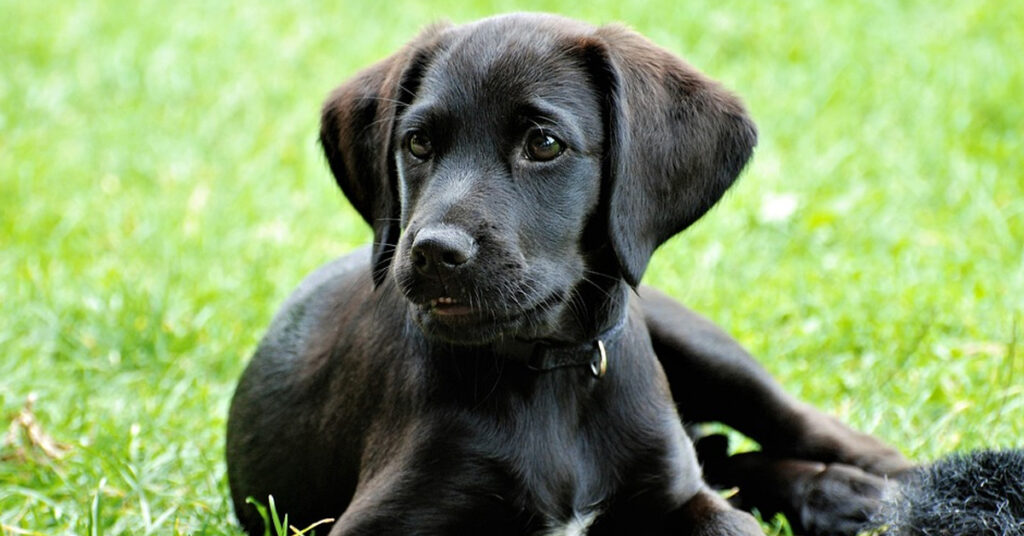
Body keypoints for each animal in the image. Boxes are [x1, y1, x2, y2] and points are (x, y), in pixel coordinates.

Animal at [226, 13, 913, 536]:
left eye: (544, 144)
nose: (432, 252)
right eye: (417, 144)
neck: (547, 375)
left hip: (700, 344)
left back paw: (878, 491)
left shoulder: (683, 497)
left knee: (796, 427)